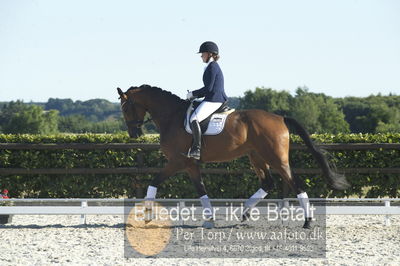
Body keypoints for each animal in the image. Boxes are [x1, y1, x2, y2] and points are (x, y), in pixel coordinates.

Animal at [117, 85, 348, 229]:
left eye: (126, 107)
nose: (134, 134)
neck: (172, 117)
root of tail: (280, 118)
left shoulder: (178, 161)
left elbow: (154, 182)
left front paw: (147, 214)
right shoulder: (190, 164)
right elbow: (201, 190)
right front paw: (209, 219)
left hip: (276, 158)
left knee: (295, 183)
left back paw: (307, 221)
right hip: (257, 156)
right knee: (268, 182)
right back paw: (244, 213)